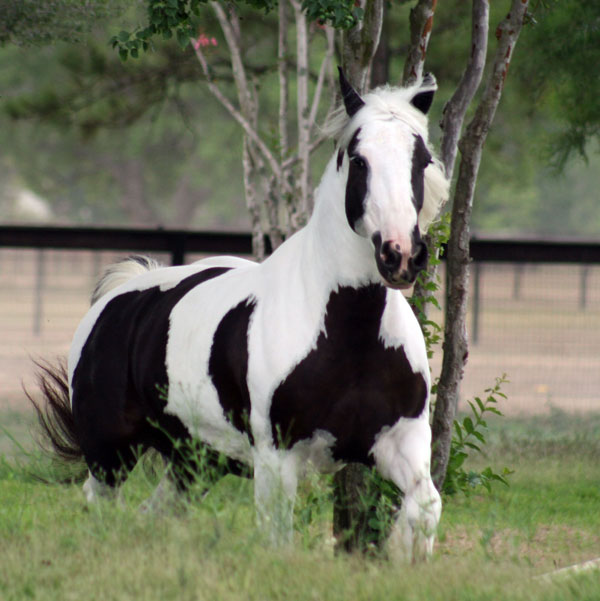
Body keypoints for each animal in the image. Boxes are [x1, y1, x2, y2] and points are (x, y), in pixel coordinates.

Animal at [36, 71, 446, 564]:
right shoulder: (276, 459)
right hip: (110, 454)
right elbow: (277, 539)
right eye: (358, 159)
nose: (400, 254)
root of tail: (116, 299)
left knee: (151, 514)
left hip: (195, 461)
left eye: (421, 159)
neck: (348, 335)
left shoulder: (401, 441)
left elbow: (425, 509)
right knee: (101, 507)